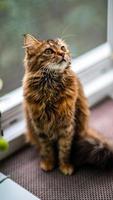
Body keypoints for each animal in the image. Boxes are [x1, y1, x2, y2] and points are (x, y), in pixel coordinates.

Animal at [22, 34, 113, 175]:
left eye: (62, 48)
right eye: (48, 51)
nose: (62, 53)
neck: (50, 85)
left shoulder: (67, 126)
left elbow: (64, 150)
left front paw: (65, 166)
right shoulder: (40, 127)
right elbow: (47, 149)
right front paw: (48, 163)